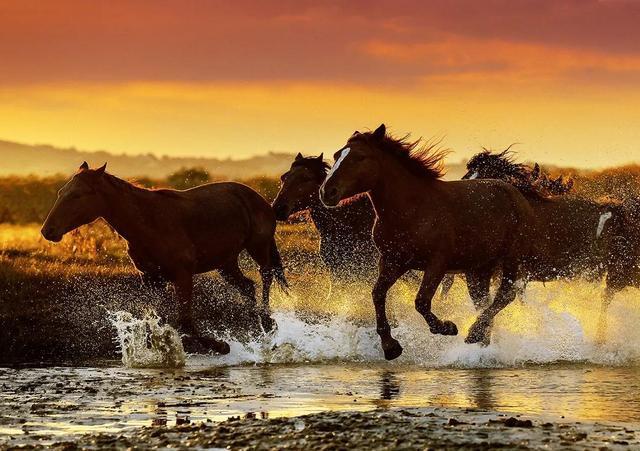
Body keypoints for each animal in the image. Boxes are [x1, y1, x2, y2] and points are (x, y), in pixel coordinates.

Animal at [41, 162, 288, 354]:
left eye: (77, 195)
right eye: (61, 192)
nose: (47, 230)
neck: (148, 223)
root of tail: (261, 200)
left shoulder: (183, 274)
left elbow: (185, 322)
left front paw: (221, 346)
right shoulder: (152, 278)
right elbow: (158, 321)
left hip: (258, 246)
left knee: (266, 276)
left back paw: (268, 323)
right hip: (225, 263)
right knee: (248, 287)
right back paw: (260, 328)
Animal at [320, 124, 537, 360]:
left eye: (360, 157)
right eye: (336, 155)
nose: (326, 192)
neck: (412, 210)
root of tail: (515, 193)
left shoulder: (437, 264)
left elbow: (421, 301)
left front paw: (447, 327)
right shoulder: (392, 262)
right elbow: (378, 294)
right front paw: (391, 347)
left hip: (511, 260)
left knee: (505, 295)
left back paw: (473, 333)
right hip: (478, 269)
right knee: (483, 301)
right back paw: (481, 342)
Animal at [460, 149, 640, 339]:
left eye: (483, 181)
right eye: (467, 176)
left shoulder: (515, 270)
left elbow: (502, 298)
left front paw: (475, 334)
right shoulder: (485, 272)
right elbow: (483, 301)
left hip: (621, 274)